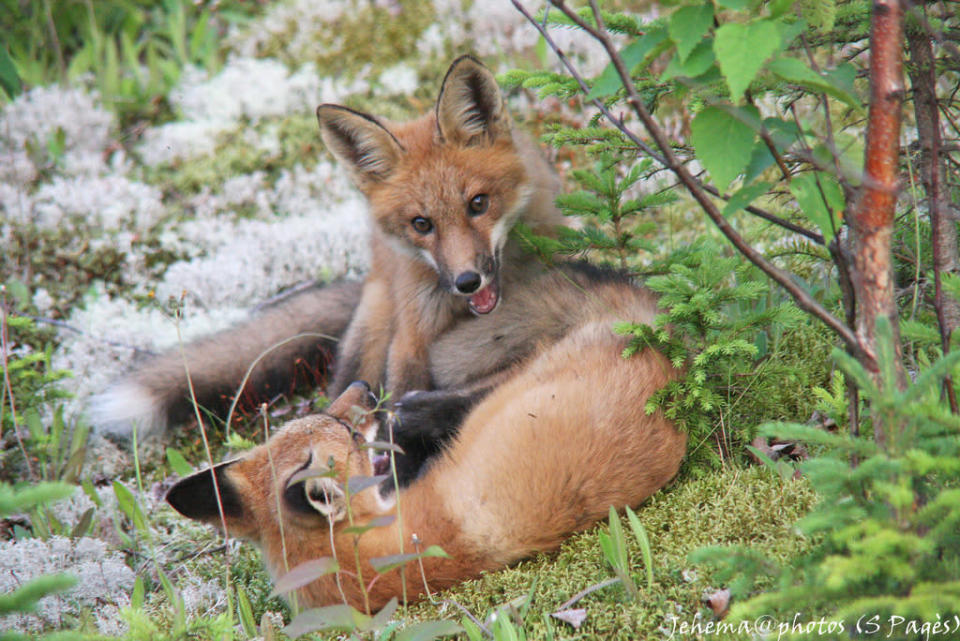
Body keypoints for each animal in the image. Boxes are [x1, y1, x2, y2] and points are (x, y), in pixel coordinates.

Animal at [89, 55, 564, 438]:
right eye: (422, 224)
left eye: (478, 203)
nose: (467, 281)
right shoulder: (414, 339)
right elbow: (402, 401)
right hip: (373, 335)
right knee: (344, 396)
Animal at [169, 264, 688, 608]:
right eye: (347, 431)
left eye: (325, 415)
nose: (365, 388)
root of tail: (659, 344)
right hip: (526, 378)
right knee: (481, 388)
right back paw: (417, 411)